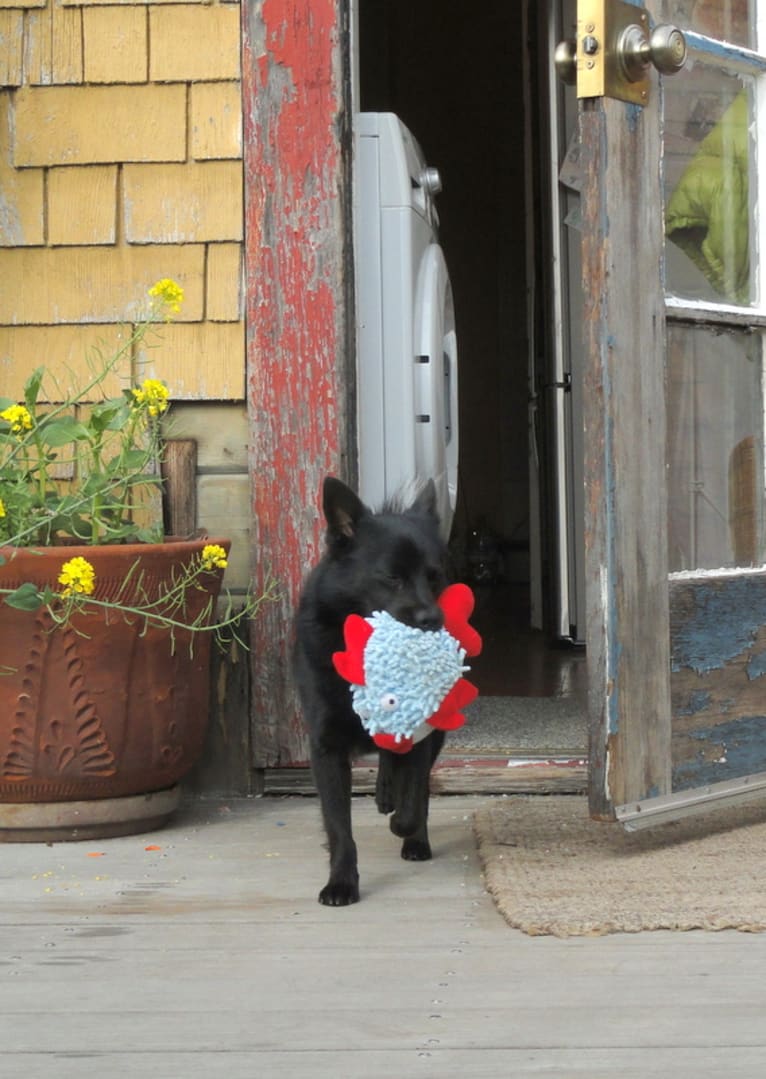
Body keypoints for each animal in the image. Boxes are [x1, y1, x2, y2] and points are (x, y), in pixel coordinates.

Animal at [293, 476, 450, 906]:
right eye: (392, 577)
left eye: (434, 576)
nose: (433, 620)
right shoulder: (325, 747)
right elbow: (338, 828)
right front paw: (341, 883)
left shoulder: (422, 732)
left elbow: (414, 799)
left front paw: (404, 825)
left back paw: (410, 832)